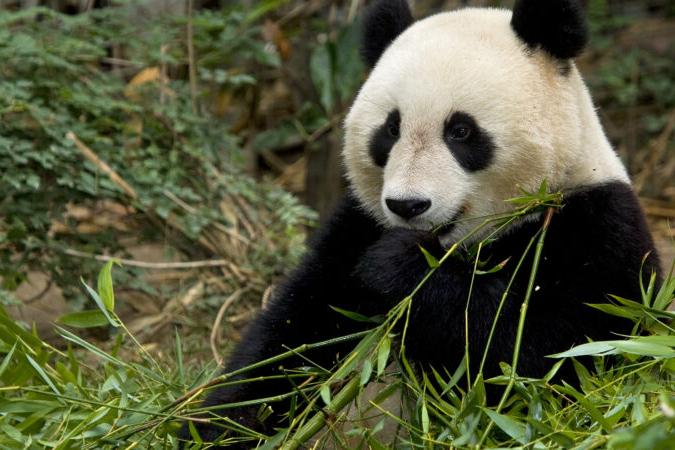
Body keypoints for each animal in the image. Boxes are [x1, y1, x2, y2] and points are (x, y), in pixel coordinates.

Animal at [179, 0, 661, 447]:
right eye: (390, 129)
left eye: (461, 131)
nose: (408, 205)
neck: (465, 244)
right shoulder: (355, 227)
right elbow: (290, 338)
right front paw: (214, 427)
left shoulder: (597, 229)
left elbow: (546, 359)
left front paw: (400, 267)